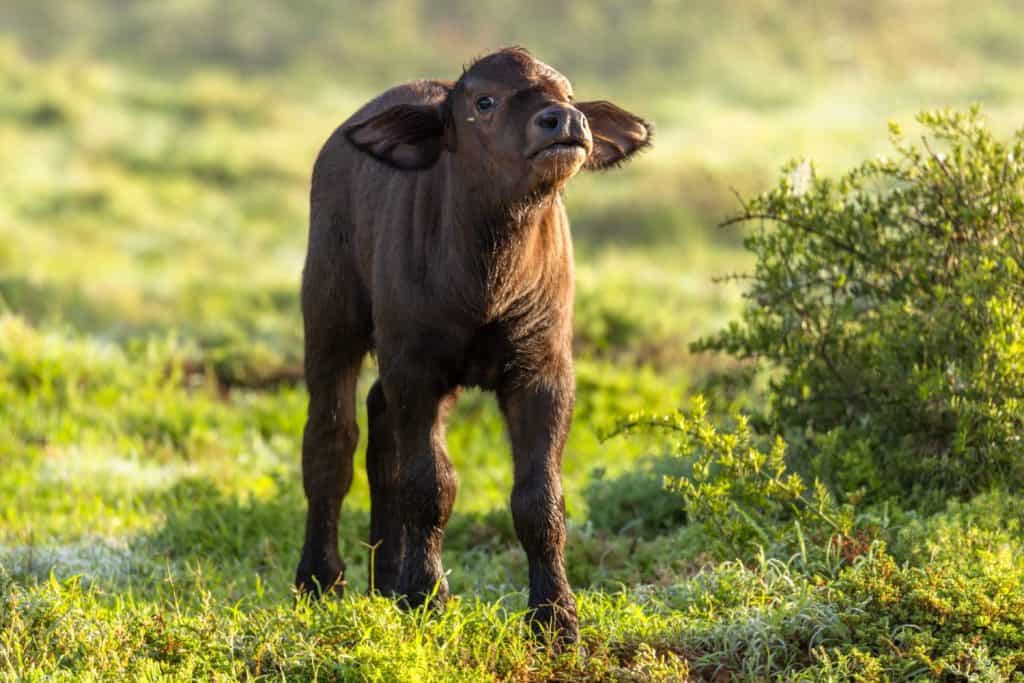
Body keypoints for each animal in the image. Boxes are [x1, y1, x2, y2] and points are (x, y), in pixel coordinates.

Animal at [295, 47, 651, 643]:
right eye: (484, 101)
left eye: (568, 94)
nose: (564, 122)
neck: (489, 272)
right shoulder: (418, 370)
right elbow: (430, 485)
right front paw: (428, 596)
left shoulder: (543, 372)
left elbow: (539, 498)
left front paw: (555, 615)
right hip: (329, 314)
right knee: (332, 439)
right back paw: (321, 579)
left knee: (380, 426)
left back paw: (386, 577)